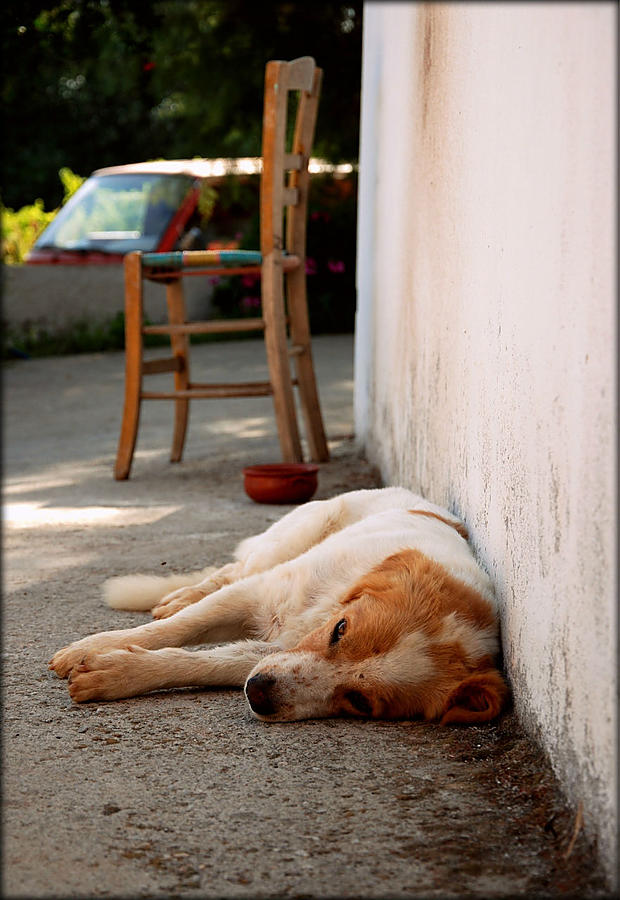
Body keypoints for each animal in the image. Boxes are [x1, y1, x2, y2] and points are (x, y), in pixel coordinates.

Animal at [49, 488, 508, 720]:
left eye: (360, 703)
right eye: (341, 630)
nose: (258, 695)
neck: (323, 609)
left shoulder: (270, 654)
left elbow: (204, 661)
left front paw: (119, 671)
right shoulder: (257, 592)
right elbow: (174, 629)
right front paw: (92, 647)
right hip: (287, 541)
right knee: (229, 570)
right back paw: (178, 596)